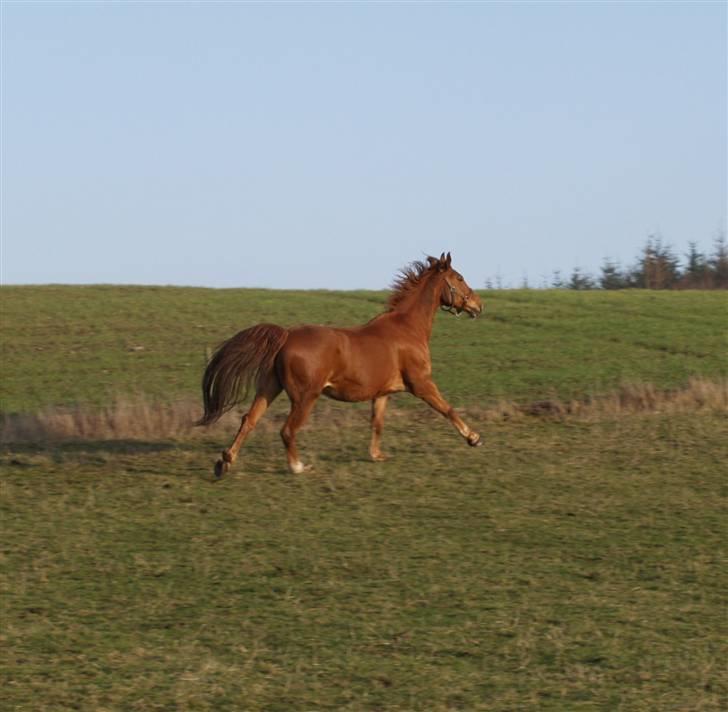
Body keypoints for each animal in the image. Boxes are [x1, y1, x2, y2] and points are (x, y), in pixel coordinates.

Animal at [198, 253, 484, 476]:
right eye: (459, 278)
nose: (478, 305)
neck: (408, 329)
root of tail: (287, 335)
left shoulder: (382, 393)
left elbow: (377, 423)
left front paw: (377, 455)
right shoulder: (421, 384)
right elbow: (447, 409)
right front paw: (474, 438)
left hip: (269, 387)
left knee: (249, 420)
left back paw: (224, 462)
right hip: (305, 397)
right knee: (287, 430)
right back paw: (298, 467)